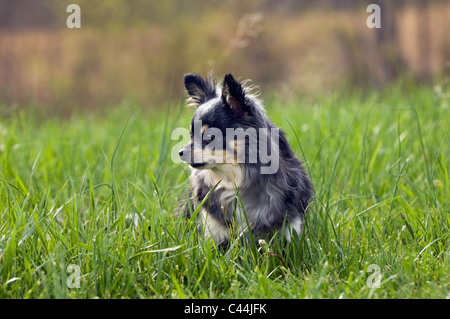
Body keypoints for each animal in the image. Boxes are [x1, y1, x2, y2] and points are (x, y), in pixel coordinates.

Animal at [177, 73, 312, 248]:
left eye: (209, 137)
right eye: (191, 135)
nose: (180, 152)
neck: (233, 178)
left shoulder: (289, 231)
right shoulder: (212, 233)